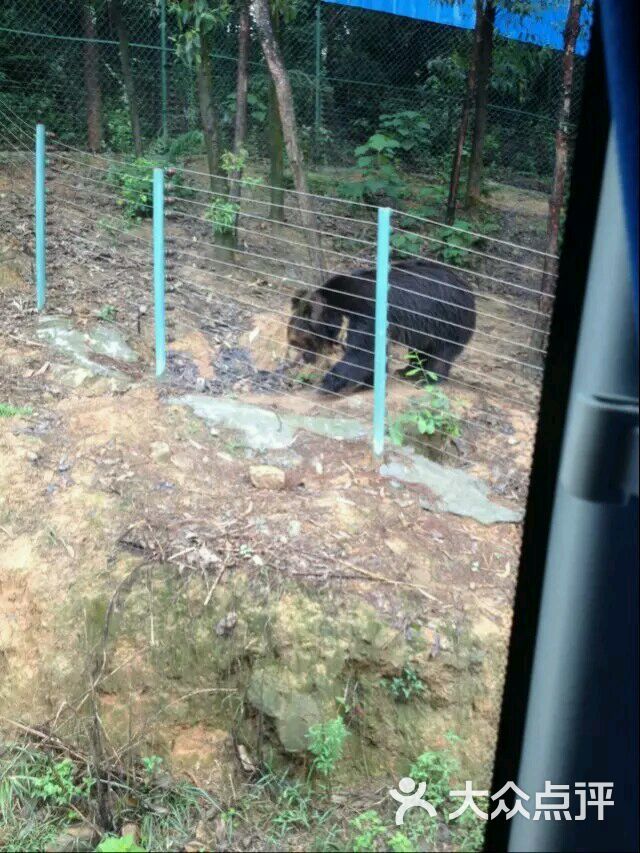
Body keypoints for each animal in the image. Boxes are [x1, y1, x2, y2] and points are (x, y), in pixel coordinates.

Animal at [288, 258, 478, 394]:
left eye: (303, 340)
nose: (304, 358)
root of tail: (469, 290)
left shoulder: (367, 312)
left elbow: (363, 352)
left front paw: (328, 383)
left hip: (448, 321)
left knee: (441, 352)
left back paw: (428, 379)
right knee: (419, 349)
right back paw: (407, 370)